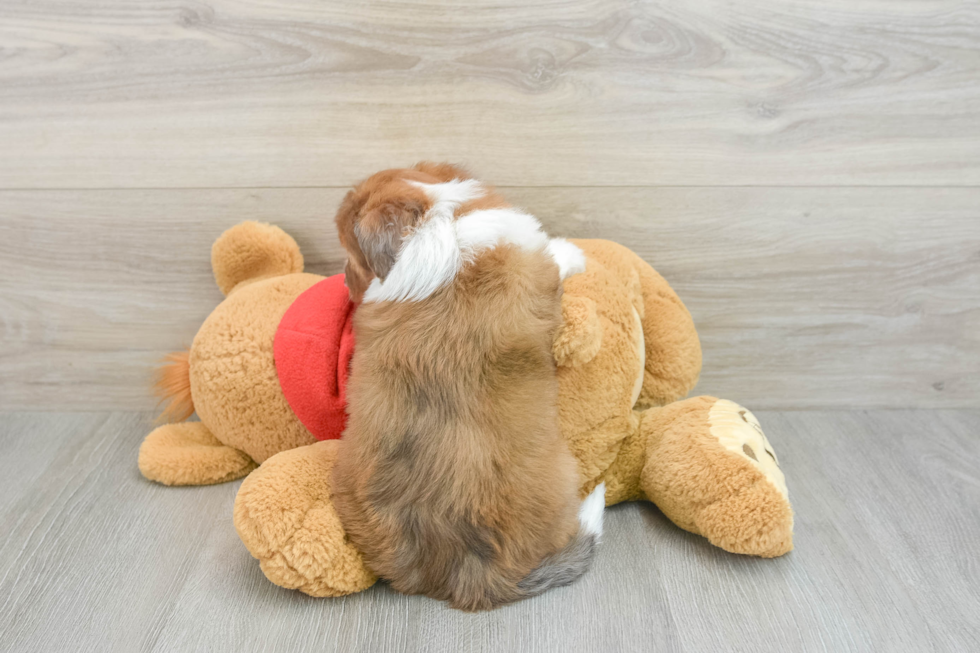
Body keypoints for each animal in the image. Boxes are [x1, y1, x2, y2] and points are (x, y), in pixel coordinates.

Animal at [332, 160, 604, 608]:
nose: (342, 280)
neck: (437, 221)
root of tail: (478, 579)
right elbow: (555, 257)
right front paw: (573, 252)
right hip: (566, 476)